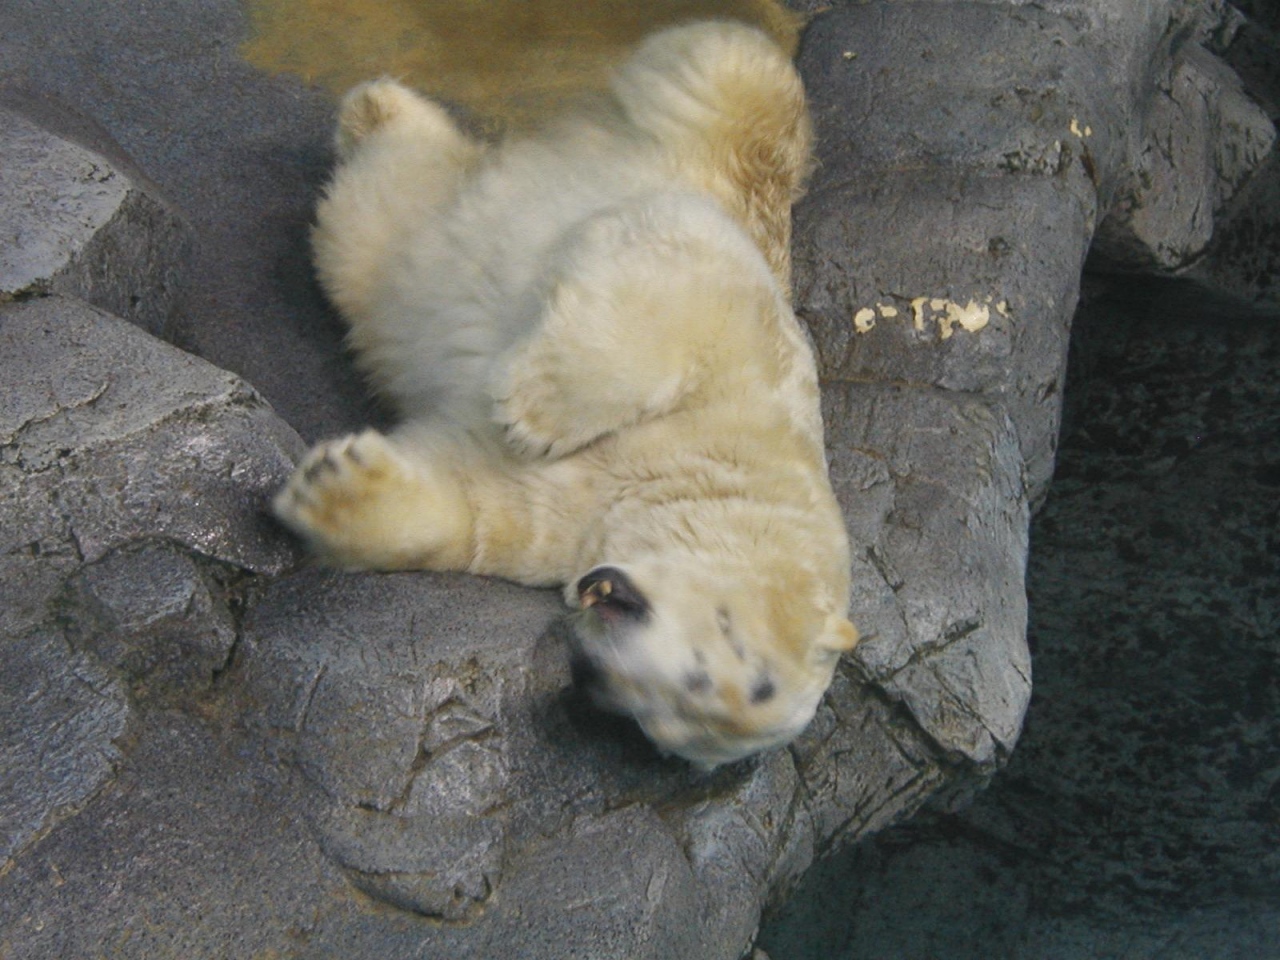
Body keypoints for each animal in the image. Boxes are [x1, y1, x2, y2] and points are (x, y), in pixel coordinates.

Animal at [276, 22, 865, 773]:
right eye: (721, 663)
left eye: (654, 723)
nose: (591, 677)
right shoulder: (758, 370)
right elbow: (684, 272)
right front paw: (533, 412)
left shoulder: (575, 525)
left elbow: (476, 501)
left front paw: (334, 488)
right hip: (718, 137)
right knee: (738, 70)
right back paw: (376, 104)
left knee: (378, 214)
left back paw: (381, 117)